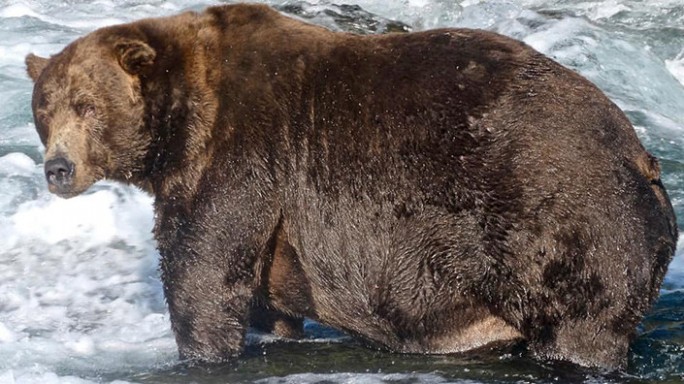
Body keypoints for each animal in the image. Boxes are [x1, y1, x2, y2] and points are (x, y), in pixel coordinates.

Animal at [25, 2, 680, 368]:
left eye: (86, 105)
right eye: (44, 109)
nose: (58, 169)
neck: (180, 123)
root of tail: (643, 157)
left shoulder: (241, 155)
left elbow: (203, 272)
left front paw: (199, 350)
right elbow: (261, 299)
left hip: (564, 225)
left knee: (579, 325)